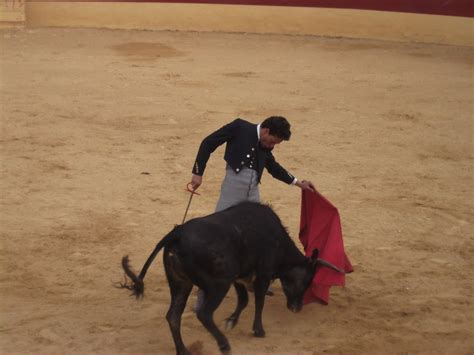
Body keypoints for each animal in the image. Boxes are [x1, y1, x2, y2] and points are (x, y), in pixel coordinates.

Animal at [120, 203, 342, 355]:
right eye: (307, 281)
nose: (297, 308)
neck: (277, 240)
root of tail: (177, 233)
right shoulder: (262, 274)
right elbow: (258, 301)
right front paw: (258, 330)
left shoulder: (240, 278)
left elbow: (243, 300)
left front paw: (231, 321)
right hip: (218, 284)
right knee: (204, 314)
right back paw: (224, 344)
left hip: (181, 283)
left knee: (173, 316)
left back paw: (184, 350)